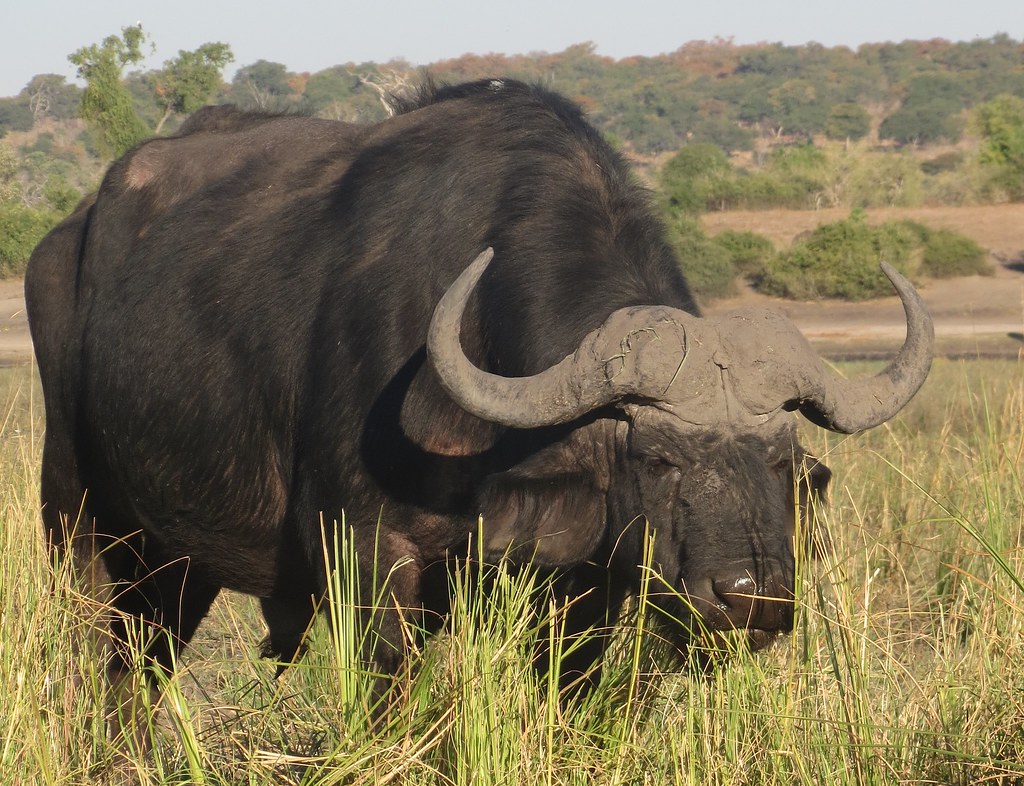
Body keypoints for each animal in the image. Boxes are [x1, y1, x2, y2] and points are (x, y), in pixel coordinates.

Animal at [28, 79, 933, 724]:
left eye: (778, 461)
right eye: (657, 457)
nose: (751, 600)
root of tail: (65, 239)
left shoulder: (583, 591)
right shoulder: (365, 559)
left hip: (177, 564)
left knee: (141, 668)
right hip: (78, 523)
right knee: (92, 652)